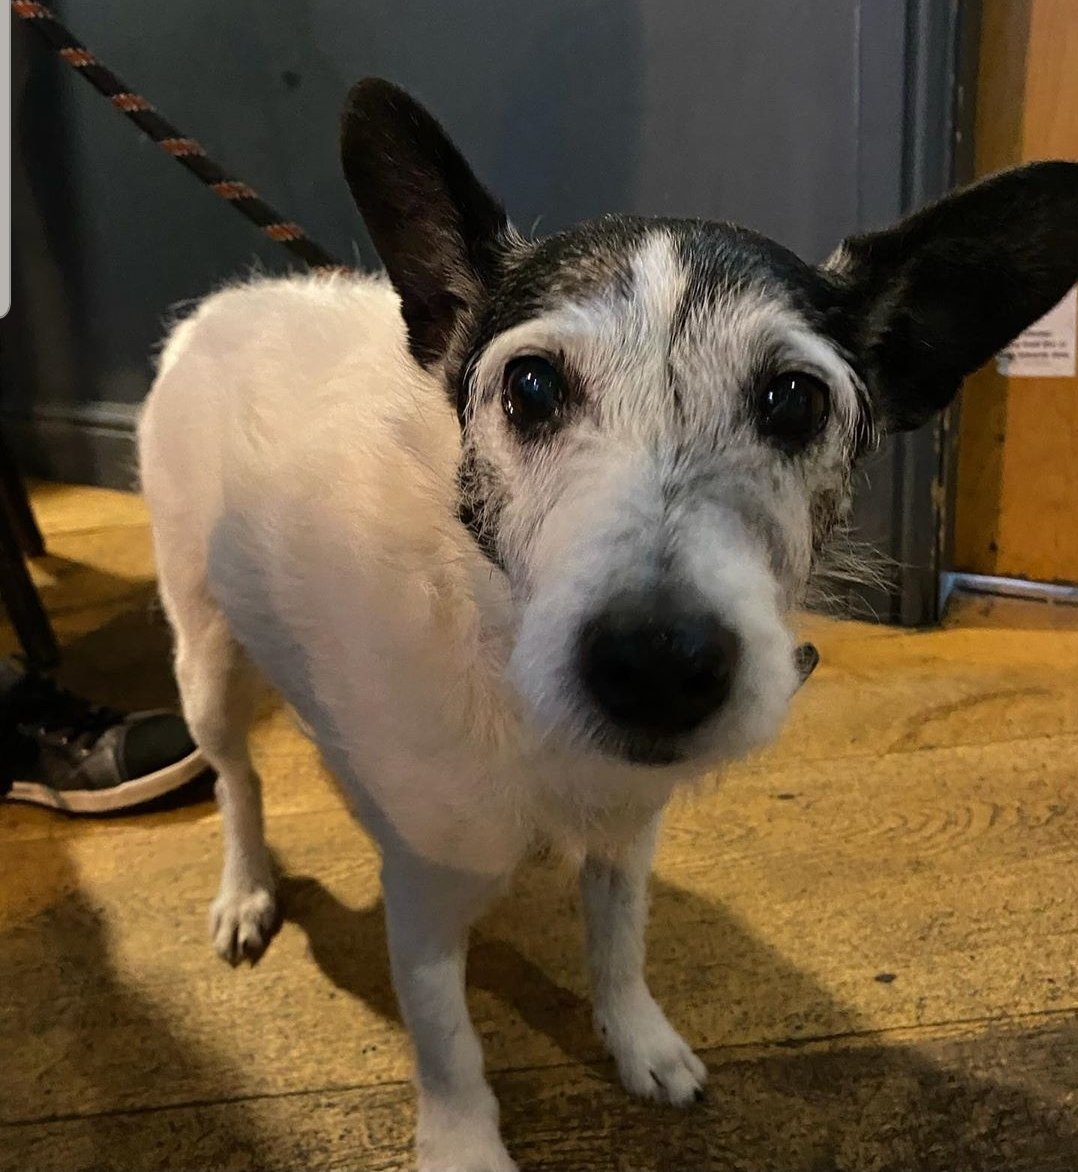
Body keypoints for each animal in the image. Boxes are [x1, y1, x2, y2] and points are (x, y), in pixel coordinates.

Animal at [138, 80, 1078, 1172]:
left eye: (794, 399)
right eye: (531, 386)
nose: (658, 664)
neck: (507, 662)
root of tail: (227, 303)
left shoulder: (629, 835)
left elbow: (618, 945)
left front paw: (639, 1040)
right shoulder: (423, 894)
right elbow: (447, 1040)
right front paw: (463, 1142)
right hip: (204, 658)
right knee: (237, 779)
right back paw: (245, 889)